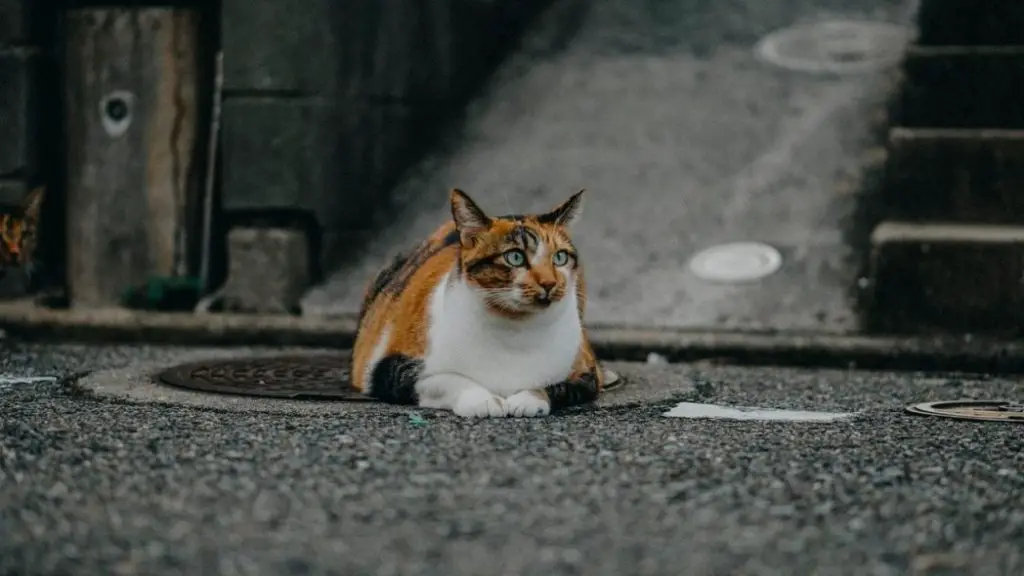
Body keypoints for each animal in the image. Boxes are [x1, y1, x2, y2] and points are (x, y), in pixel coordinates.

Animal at [352, 188, 602, 416]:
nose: (550, 283)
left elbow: (558, 387)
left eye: (560, 257)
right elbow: (448, 379)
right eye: (515, 257)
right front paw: (483, 401)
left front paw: (529, 399)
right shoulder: (390, 369)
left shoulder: (586, 375)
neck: (516, 330)